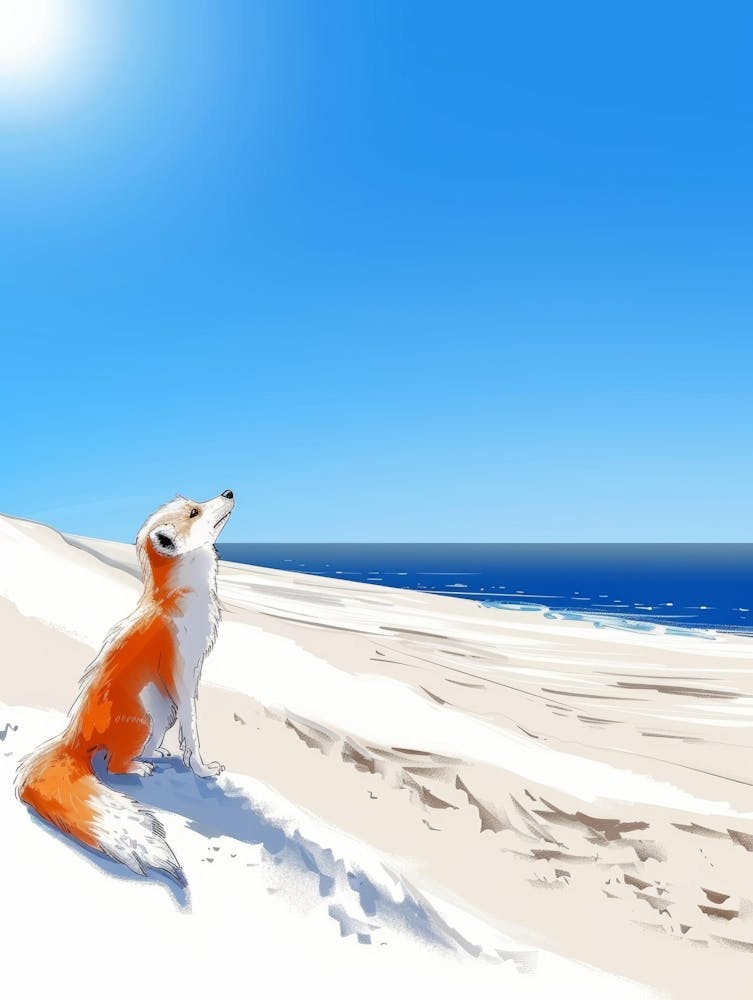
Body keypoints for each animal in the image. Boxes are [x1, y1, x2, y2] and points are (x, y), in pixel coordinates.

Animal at [15, 489, 235, 885]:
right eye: (194, 512)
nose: (228, 492)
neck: (176, 600)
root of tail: (74, 734)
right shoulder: (183, 676)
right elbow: (193, 734)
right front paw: (202, 769)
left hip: (161, 715)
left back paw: (154, 754)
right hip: (148, 713)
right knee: (115, 765)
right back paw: (139, 768)